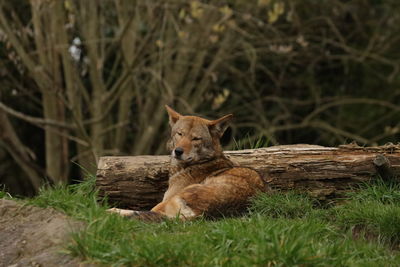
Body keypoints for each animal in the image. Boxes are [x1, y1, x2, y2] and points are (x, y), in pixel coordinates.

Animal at [108, 106, 268, 222]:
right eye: (180, 134)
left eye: (196, 138)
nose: (178, 151)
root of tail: (202, 214)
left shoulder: (163, 202)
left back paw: (111, 211)